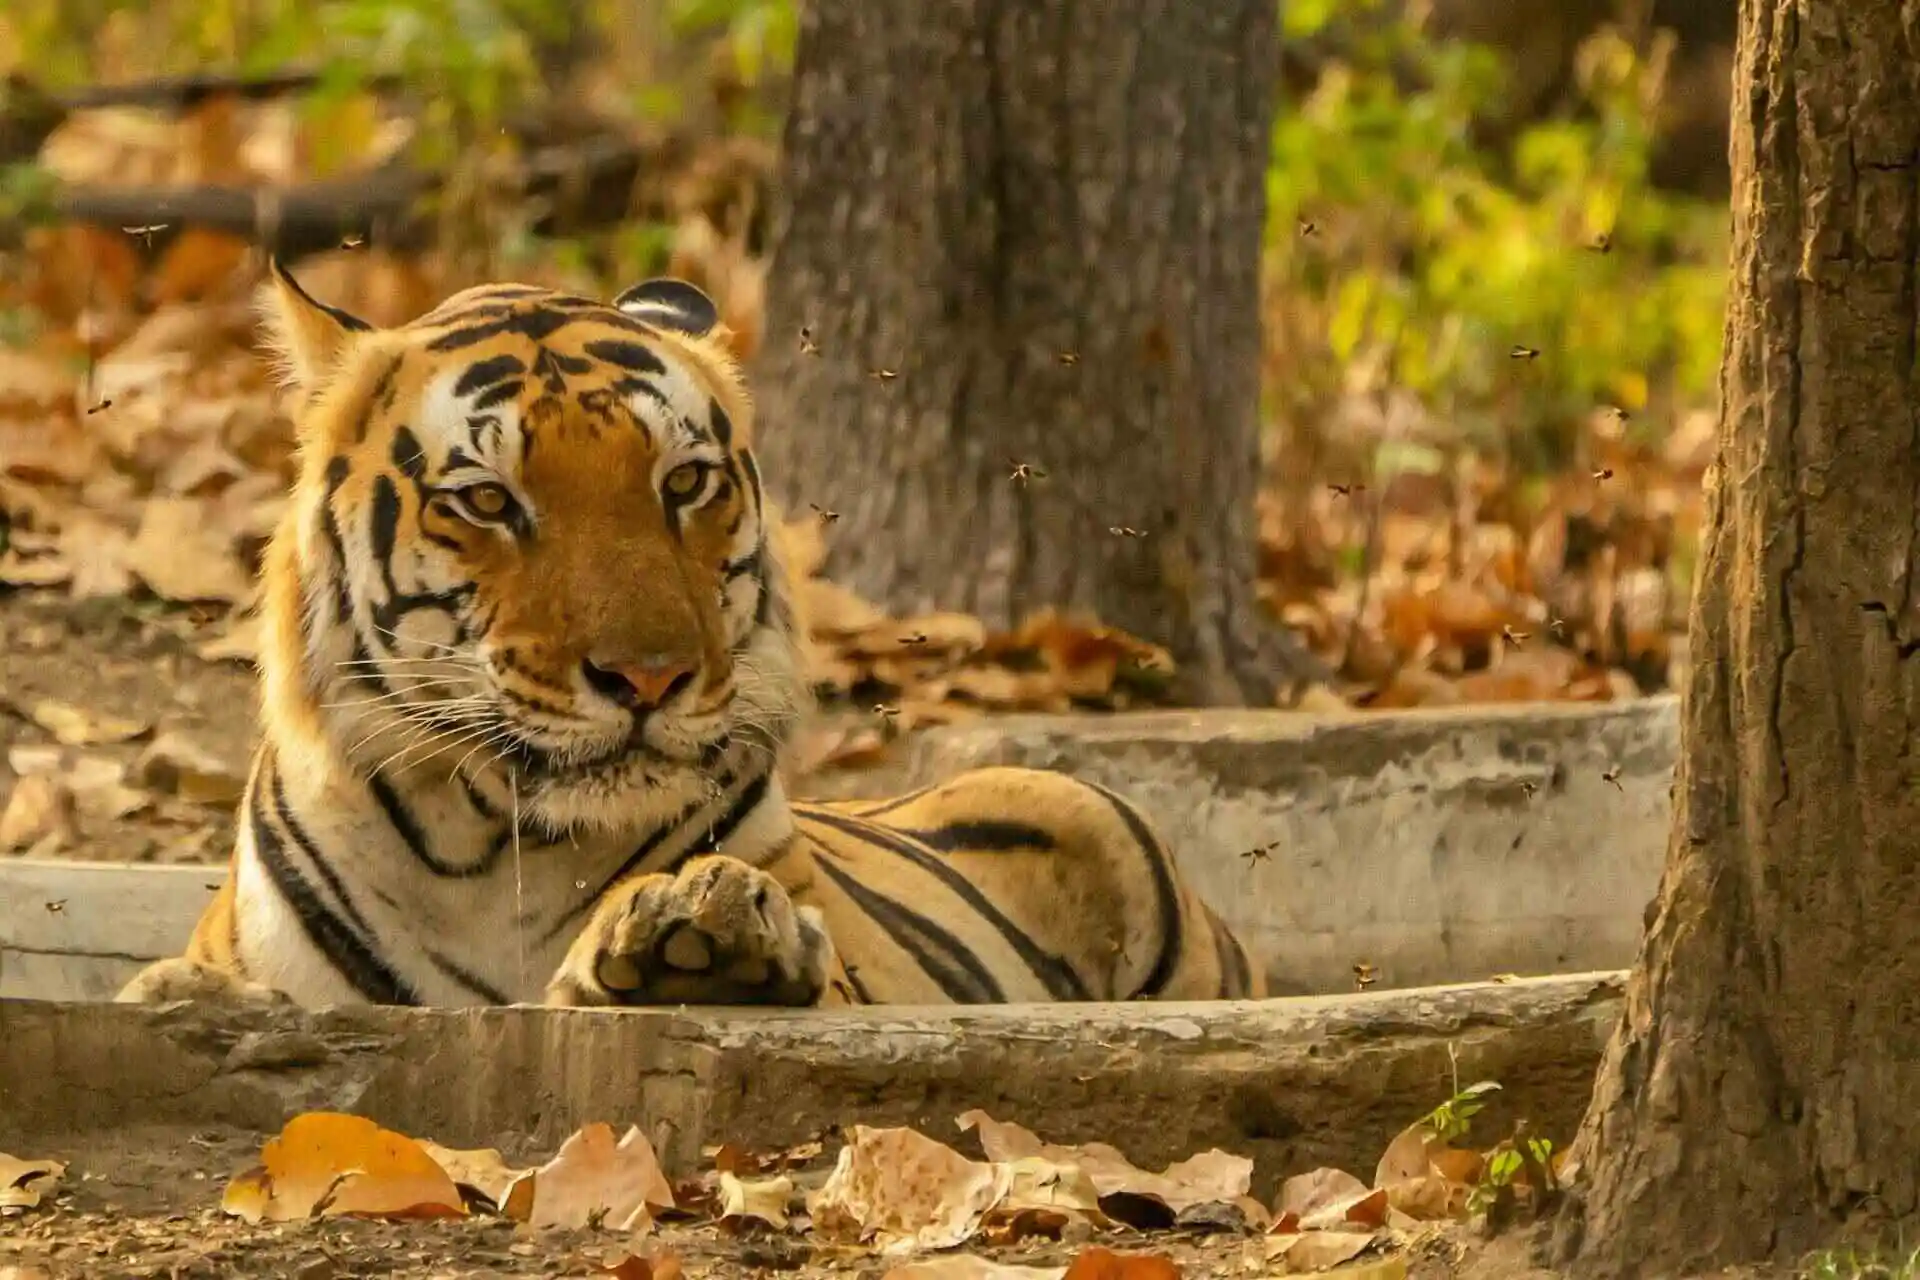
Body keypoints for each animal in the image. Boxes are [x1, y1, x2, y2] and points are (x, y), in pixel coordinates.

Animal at [116, 262, 1265, 1011]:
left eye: (684, 483)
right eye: (487, 500)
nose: (648, 677)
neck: (497, 859)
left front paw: (703, 936)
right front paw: (186, 994)